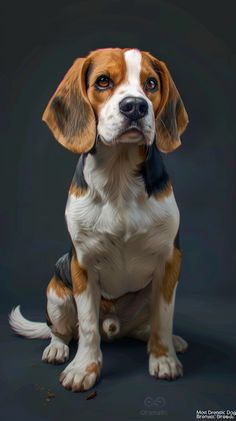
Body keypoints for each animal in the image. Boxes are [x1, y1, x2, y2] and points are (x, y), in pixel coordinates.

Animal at [10, 48, 189, 390]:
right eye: (103, 81)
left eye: (151, 83)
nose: (135, 106)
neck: (119, 177)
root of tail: (116, 328)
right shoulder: (83, 264)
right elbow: (89, 325)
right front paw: (84, 368)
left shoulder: (168, 261)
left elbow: (164, 317)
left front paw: (163, 358)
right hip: (56, 291)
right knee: (63, 330)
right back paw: (57, 348)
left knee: (146, 326)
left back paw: (167, 340)